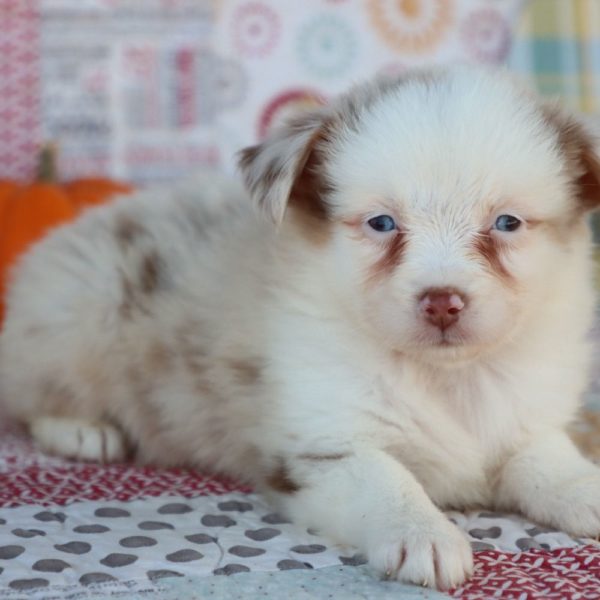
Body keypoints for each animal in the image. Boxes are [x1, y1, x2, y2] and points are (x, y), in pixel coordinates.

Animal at [1, 67, 600, 592]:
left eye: (507, 223)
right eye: (382, 223)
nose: (442, 303)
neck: (445, 377)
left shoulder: (524, 426)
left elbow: (552, 465)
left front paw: (586, 489)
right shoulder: (322, 448)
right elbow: (386, 480)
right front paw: (422, 531)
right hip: (75, 317)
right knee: (31, 390)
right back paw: (83, 430)